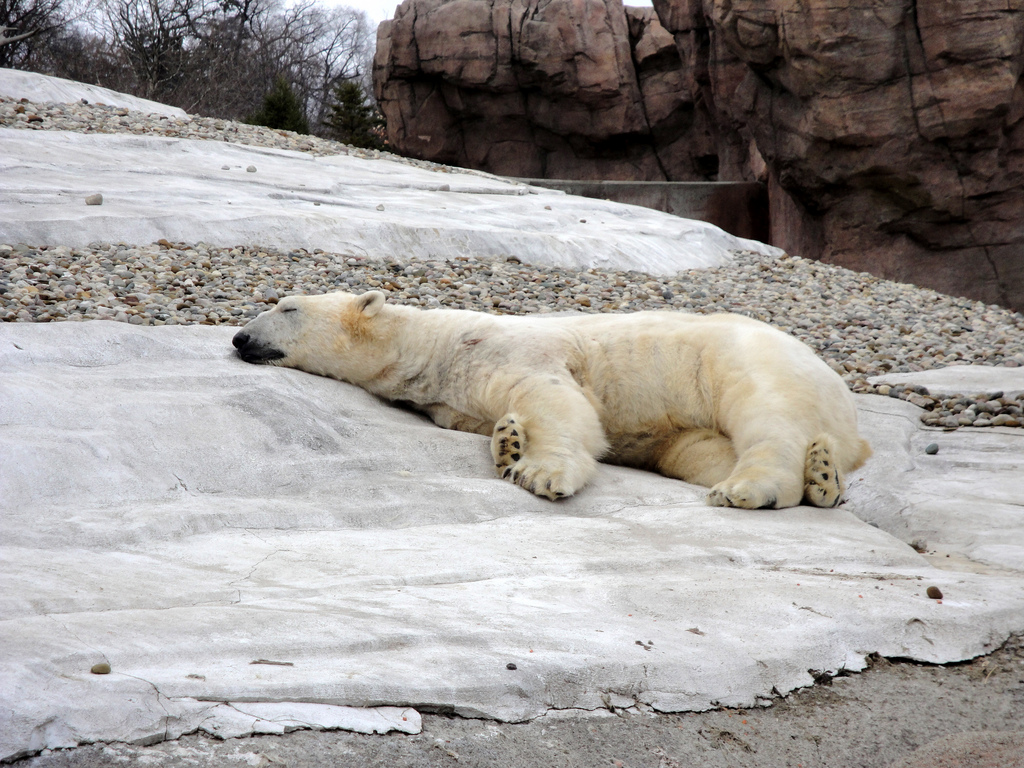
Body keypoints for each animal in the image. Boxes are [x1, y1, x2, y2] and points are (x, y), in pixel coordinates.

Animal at [232, 291, 872, 509]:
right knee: (696, 450)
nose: (239, 337)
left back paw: (757, 487)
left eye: (287, 307)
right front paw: (508, 441)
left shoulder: (512, 350)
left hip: (744, 358)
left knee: (766, 418)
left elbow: (556, 399)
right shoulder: (452, 400)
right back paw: (823, 478)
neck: (433, 347)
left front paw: (538, 471)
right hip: (688, 428)